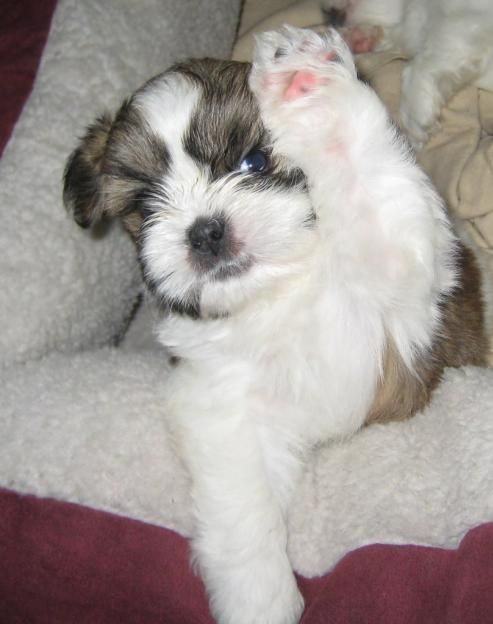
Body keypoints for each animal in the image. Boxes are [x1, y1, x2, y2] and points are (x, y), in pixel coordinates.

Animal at [62, 26, 488, 624]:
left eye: (255, 162)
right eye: (146, 204)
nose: (205, 231)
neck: (280, 295)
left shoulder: (400, 297)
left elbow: (368, 189)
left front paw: (306, 84)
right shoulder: (223, 404)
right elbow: (241, 503)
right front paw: (259, 598)